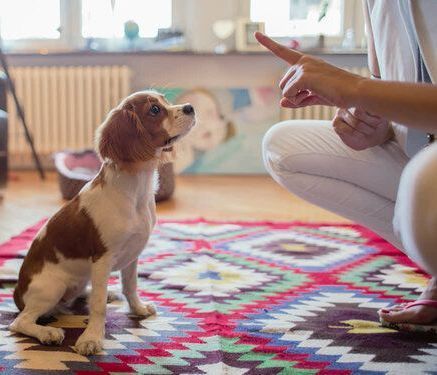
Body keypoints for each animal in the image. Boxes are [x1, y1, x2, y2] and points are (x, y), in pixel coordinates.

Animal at [9, 90, 196, 356]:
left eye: (165, 101)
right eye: (154, 110)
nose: (190, 107)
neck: (135, 189)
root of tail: (17, 291)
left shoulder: (133, 254)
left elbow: (130, 286)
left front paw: (137, 309)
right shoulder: (102, 258)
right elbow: (98, 306)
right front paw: (92, 338)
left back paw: (103, 294)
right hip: (51, 287)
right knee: (20, 321)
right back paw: (48, 333)